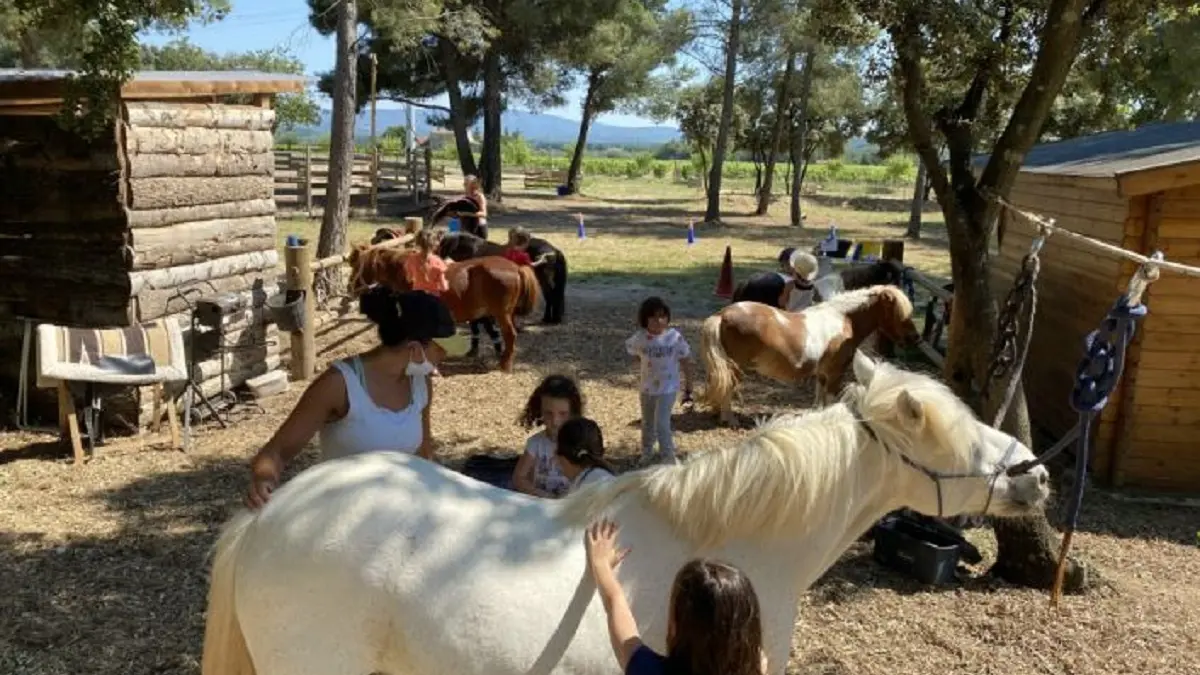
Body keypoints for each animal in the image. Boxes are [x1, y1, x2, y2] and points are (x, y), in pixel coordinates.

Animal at [347, 245, 540, 372]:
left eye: (356, 266)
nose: (350, 288)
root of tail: (516, 267)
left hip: (502, 314)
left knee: (510, 335)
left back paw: (504, 364)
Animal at [440, 231, 569, 325]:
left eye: (444, 244)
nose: (438, 256)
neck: (475, 250)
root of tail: (554, 251)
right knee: (552, 296)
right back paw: (551, 318)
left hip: (546, 279)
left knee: (552, 295)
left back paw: (550, 319)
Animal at [701, 284, 922, 424]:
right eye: (898, 313)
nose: (915, 338)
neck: (844, 320)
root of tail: (722, 315)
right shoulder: (835, 373)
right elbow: (830, 398)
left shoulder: (823, 373)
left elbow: (820, 396)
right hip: (736, 367)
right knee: (727, 388)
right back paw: (729, 419)